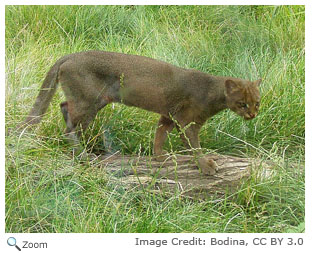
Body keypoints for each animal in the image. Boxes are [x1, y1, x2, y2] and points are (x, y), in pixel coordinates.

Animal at [20, 50, 260, 175]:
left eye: (256, 103)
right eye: (242, 104)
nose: (252, 115)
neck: (213, 92)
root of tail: (70, 55)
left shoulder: (168, 116)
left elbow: (160, 135)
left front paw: (160, 156)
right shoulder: (187, 122)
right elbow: (194, 146)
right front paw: (206, 166)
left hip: (94, 102)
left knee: (64, 107)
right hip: (88, 102)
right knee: (69, 127)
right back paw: (82, 153)